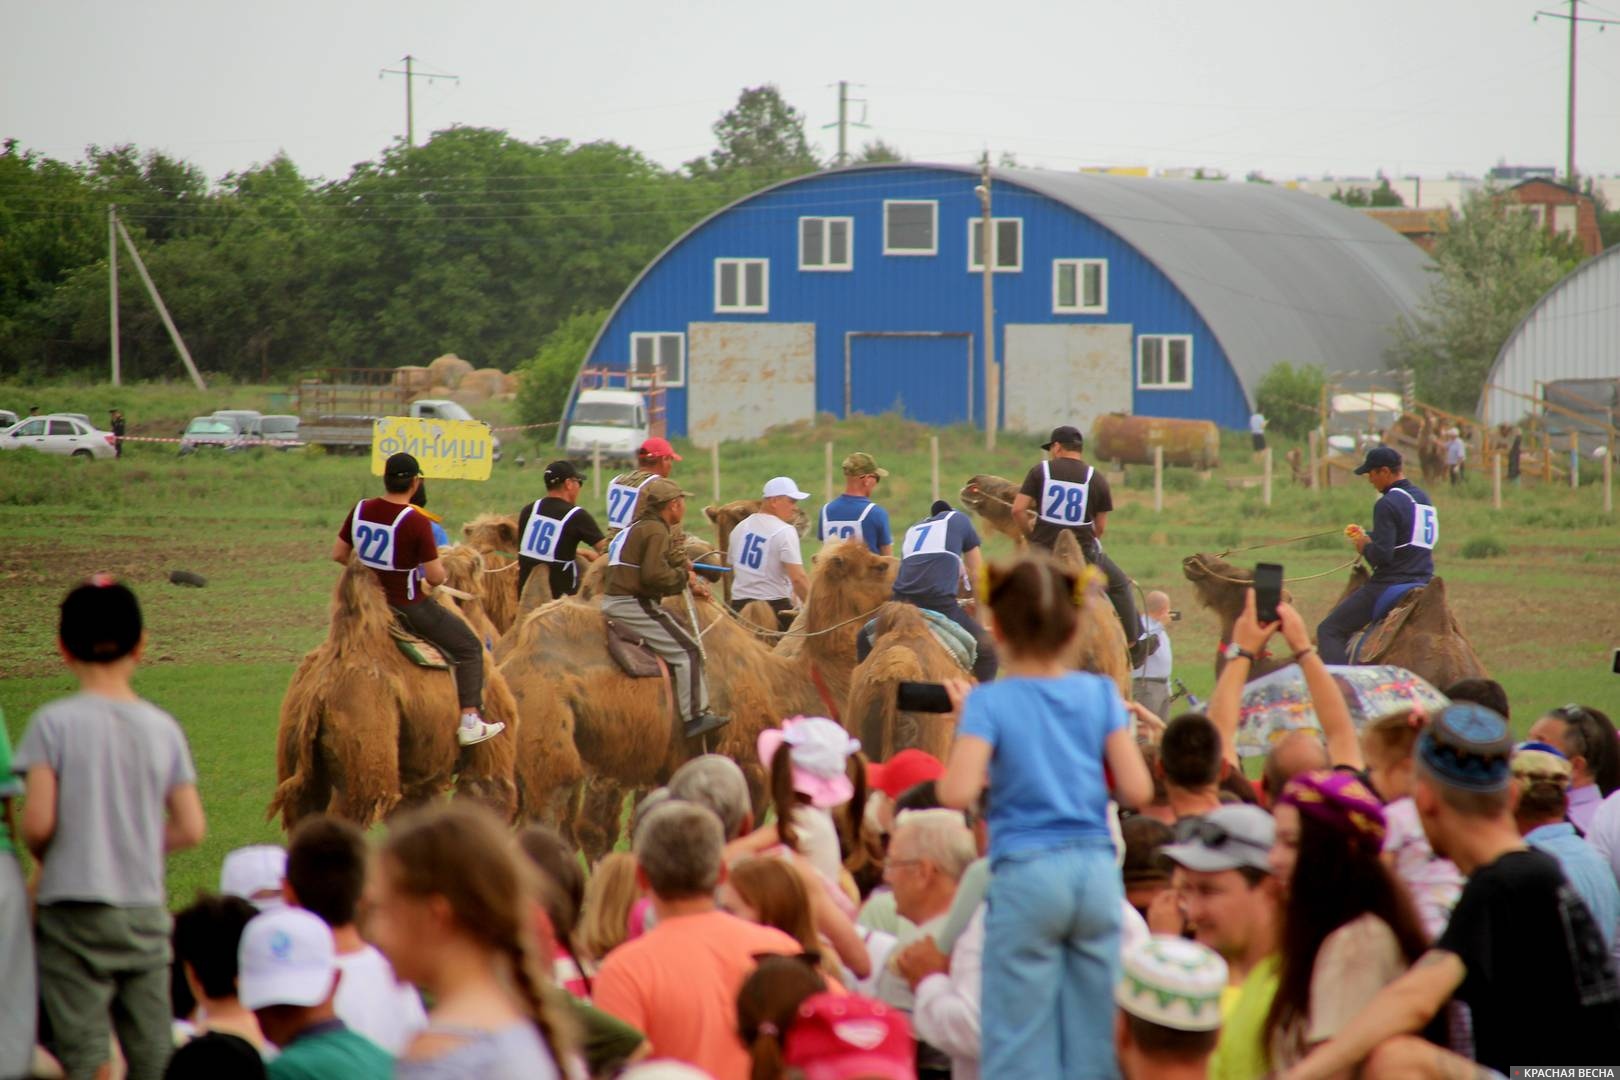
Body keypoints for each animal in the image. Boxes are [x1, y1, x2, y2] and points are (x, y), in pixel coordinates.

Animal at [265, 553, 518, 835]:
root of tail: (318, 693)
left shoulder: (420, 774)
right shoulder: (489, 750)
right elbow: (487, 791)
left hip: (299, 763)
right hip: (364, 757)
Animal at [495, 540, 894, 861]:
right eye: (879, 565)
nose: (900, 574)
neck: (786, 685)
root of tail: (507, 665)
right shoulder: (747, 763)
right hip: (549, 738)